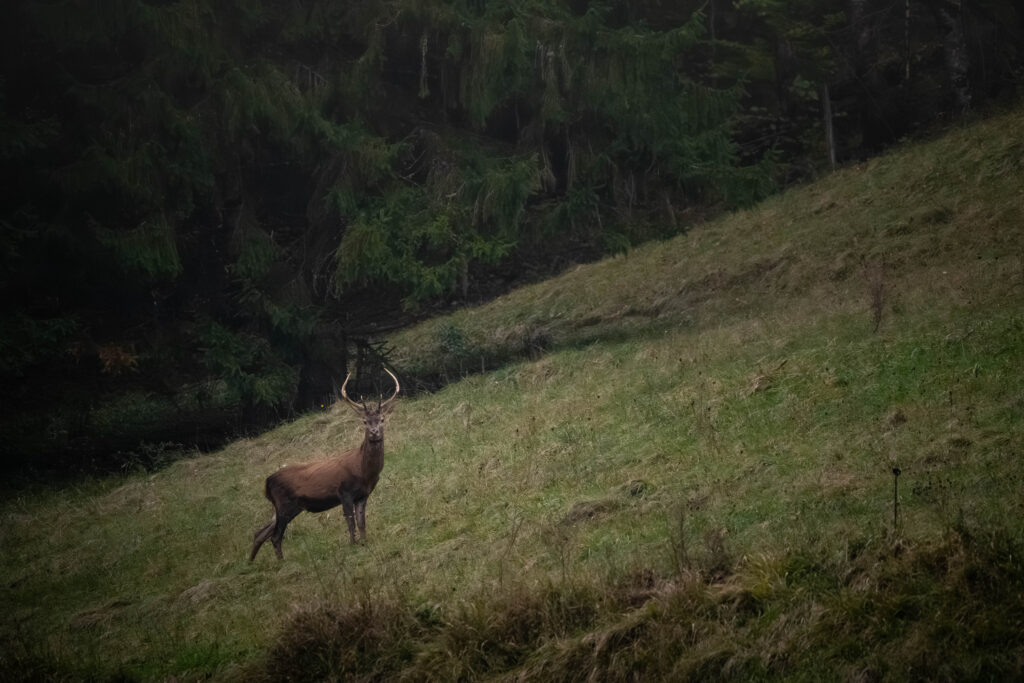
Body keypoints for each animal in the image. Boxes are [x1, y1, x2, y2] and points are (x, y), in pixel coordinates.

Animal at [249, 368, 400, 562]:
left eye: (381, 419)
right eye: (365, 422)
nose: (374, 432)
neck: (364, 472)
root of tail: (267, 483)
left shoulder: (363, 494)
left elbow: (361, 522)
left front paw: (364, 542)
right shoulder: (344, 491)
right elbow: (350, 521)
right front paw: (353, 545)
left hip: (287, 507)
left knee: (260, 532)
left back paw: (251, 563)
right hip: (284, 503)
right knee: (275, 536)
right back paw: (281, 562)